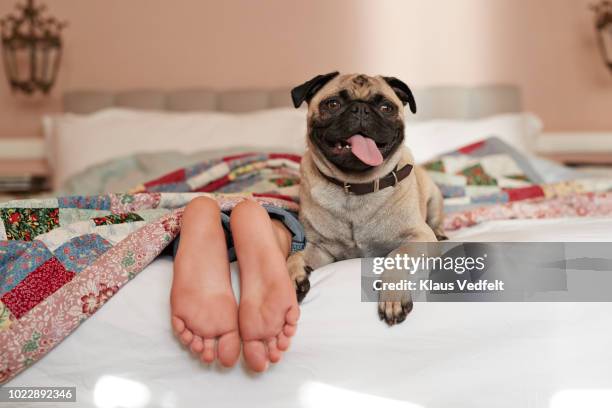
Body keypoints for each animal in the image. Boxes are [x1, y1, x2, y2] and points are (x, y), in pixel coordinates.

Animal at [286, 71, 444, 326]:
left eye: (386, 107)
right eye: (332, 104)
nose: (360, 109)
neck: (356, 186)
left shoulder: (419, 237)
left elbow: (396, 255)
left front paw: (392, 296)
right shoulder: (320, 248)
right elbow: (295, 254)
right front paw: (292, 274)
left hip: (434, 199)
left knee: (436, 220)